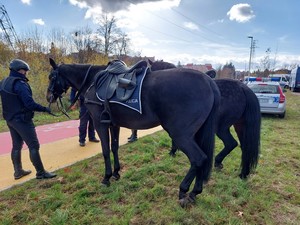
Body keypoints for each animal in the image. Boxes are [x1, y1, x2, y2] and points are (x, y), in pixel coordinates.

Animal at [47, 58, 220, 207]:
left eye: (51, 76)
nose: (48, 96)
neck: (93, 81)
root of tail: (208, 81)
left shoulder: (99, 123)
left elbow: (105, 151)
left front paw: (106, 177)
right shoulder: (113, 124)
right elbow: (114, 148)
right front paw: (116, 173)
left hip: (180, 135)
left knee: (199, 158)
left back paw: (184, 190)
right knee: (203, 158)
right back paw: (195, 192)